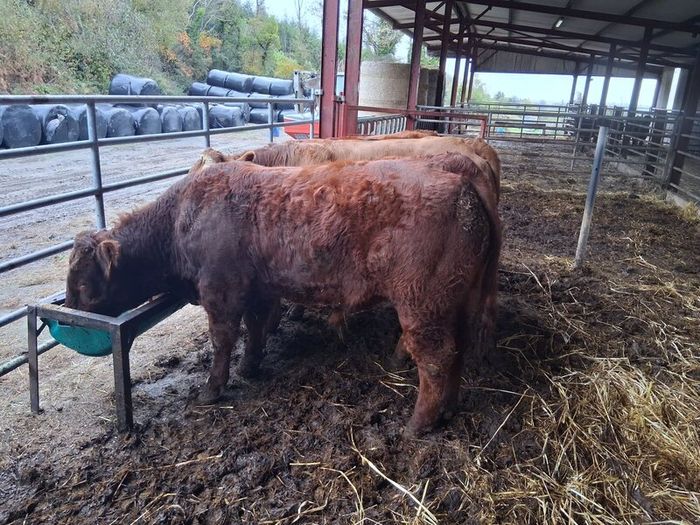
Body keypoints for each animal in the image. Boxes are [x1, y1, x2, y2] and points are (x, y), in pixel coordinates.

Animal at [65, 153, 501, 435]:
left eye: (84, 285)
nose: (69, 313)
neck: (183, 217)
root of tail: (462, 185)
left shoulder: (220, 292)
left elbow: (223, 340)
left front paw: (212, 389)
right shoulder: (257, 290)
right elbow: (255, 329)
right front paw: (250, 366)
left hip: (422, 306)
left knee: (436, 360)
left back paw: (418, 424)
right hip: (456, 304)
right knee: (457, 353)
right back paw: (448, 411)